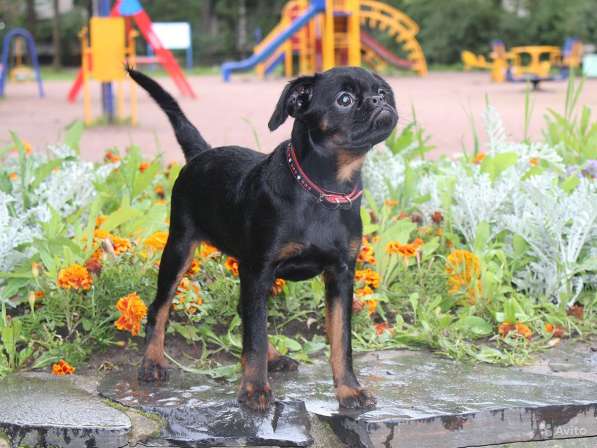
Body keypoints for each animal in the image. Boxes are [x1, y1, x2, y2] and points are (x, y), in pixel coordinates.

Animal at [129, 65, 398, 412]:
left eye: (383, 91)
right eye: (345, 99)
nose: (379, 100)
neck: (325, 191)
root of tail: (201, 155)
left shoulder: (340, 274)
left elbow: (341, 341)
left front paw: (349, 390)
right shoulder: (258, 268)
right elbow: (254, 336)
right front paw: (255, 388)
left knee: (246, 311)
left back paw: (274, 358)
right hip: (179, 249)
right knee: (160, 307)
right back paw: (152, 362)